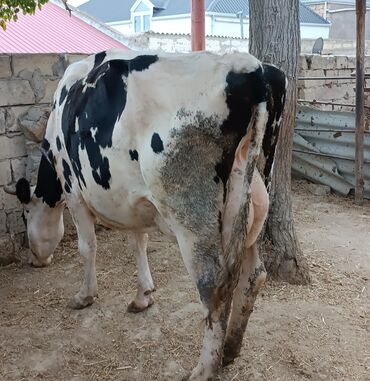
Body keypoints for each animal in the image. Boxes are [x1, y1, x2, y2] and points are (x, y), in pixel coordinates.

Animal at [5, 50, 284, 380]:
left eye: (25, 216)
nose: (36, 261)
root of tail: (251, 67)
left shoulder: (74, 192)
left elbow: (88, 248)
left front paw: (85, 296)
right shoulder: (129, 199)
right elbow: (138, 242)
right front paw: (143, 295)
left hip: (192, 218)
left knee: (214, 287)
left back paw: (204, 369)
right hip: (250, 205)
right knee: (254, 275)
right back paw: (230, 349)